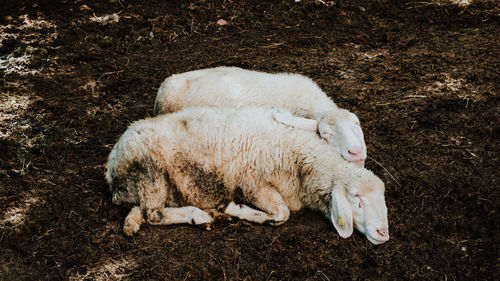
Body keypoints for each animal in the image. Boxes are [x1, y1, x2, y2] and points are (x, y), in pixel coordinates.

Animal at [105, 106, 390, 243]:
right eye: (356, 200)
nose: (382, 234)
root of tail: (110, 164)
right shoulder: (252, 182)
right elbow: (281, 214)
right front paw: (237, 209)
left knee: (140, 212)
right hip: (150, 172)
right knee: (153, 215)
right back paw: (199, 215)